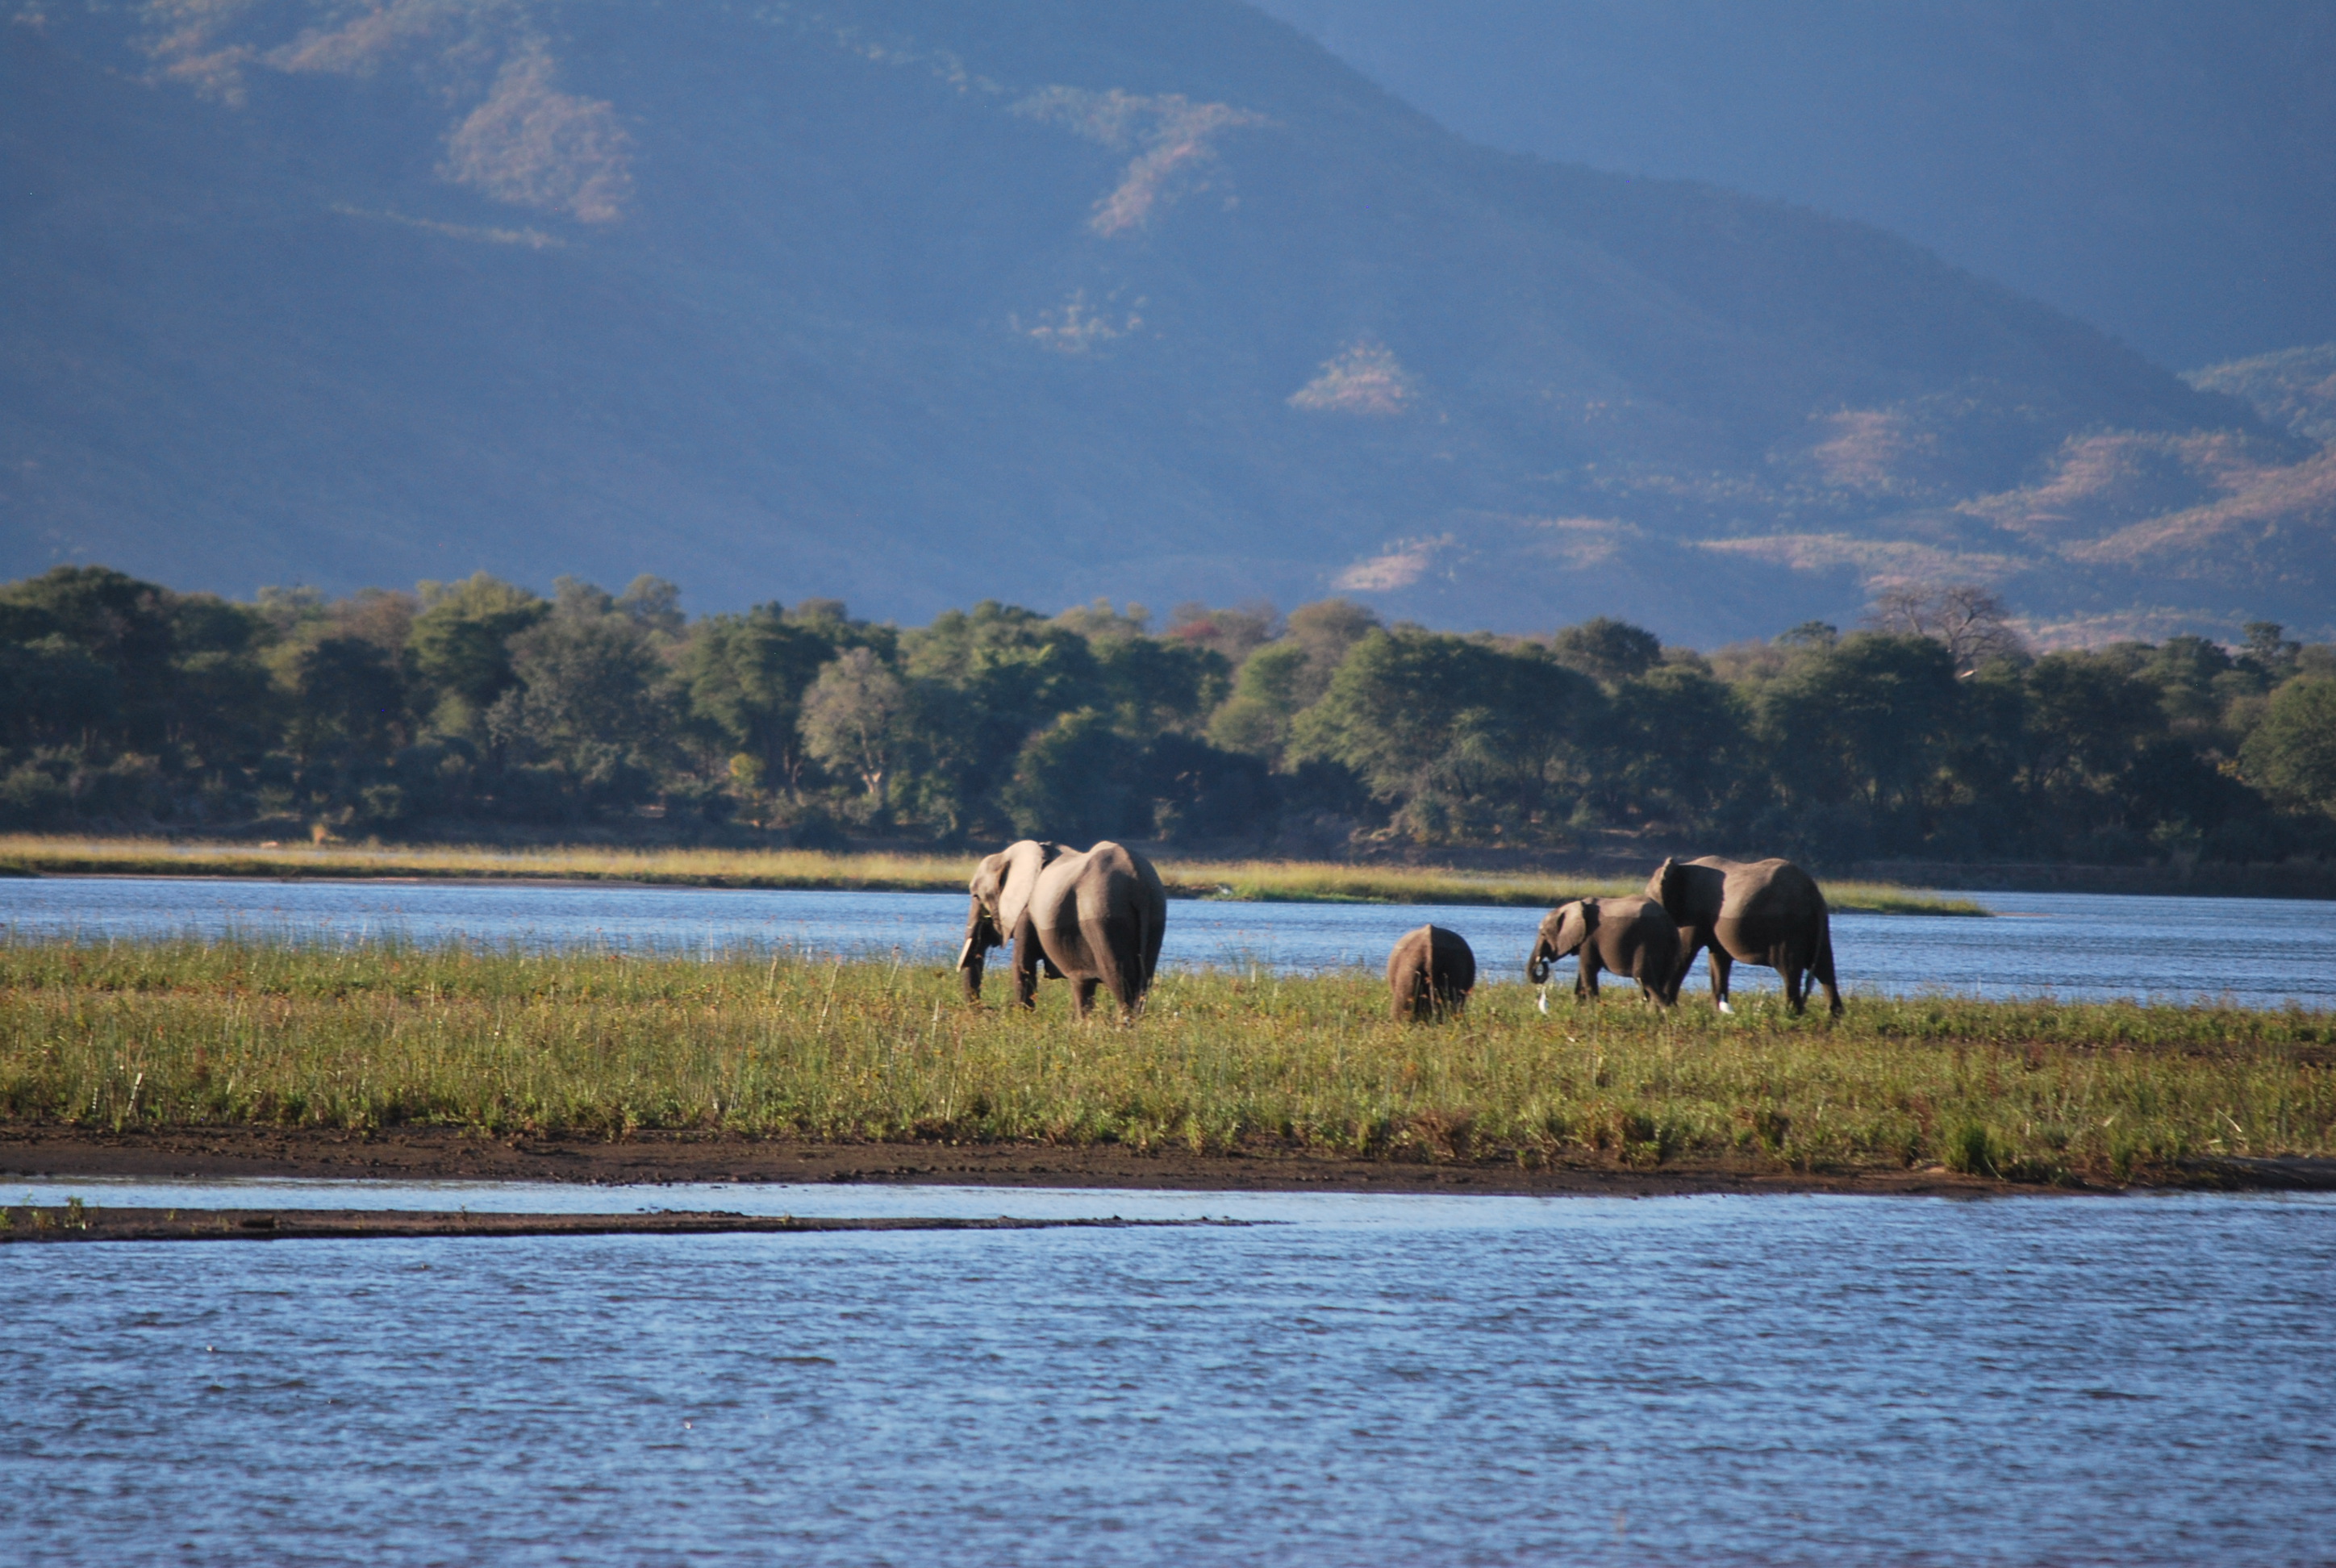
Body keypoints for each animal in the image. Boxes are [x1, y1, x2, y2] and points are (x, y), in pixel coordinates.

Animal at [958, 839, 1166, 1020]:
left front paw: (1022, 1020)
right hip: (1155, 916)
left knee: (1119, 981)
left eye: (976, 896)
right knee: (1138, 982)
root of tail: (1138, 883)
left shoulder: (1026, 912)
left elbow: (1023, 966)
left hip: (1104, 916)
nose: (987, 1008)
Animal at [1526, 896, 1680, 1006]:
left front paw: (1592, 1008)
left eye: (1543, 934)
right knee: (1661, 979)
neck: (1575, 906)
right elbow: (1583, 973)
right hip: (1669, 947)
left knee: (1643, 978)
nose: (1543, 962)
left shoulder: (1589, 938)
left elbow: (1588, 969)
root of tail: (1669, 923)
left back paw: (1663, 1012)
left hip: (1649, 941)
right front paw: (1578, 1006)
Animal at [1647, 855, 1841, 1016]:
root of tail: (1812, 893)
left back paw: (1791, 1015)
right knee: (1825, 968)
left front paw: (1664, 1010)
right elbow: (1719, 958)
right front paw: (1718, 1013)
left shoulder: (1694, 910)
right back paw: (1833, 1017)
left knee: (1789, 969)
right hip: (1816, 926)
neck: (1681, 866)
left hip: (1788, 927)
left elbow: (1684, 953)